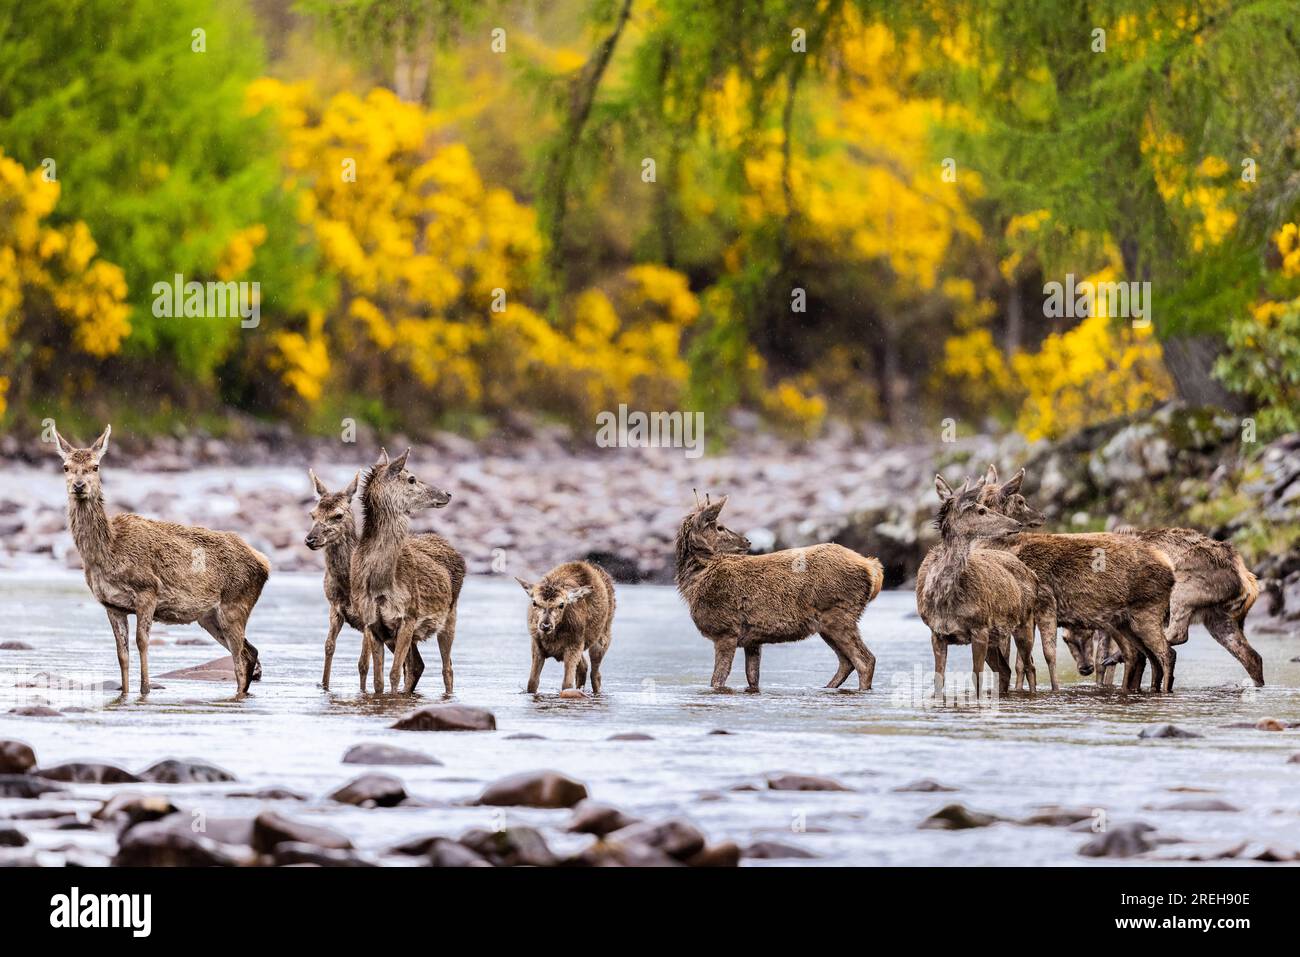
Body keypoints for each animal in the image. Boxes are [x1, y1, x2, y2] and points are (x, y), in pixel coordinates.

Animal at [53, 425, 268, 697]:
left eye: (95, 466)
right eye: (65, 467)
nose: (79, 486)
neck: (108, 552)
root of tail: (265, 563)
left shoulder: (148, 590)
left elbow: (141, 642)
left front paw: (145, 689)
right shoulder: (111, 605)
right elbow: (121, 653)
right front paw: (124, 693)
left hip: (236, 603)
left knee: (240, 660)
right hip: (209, 616)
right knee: (250, 652)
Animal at [350, 448, 459, 695]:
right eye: (411, 478)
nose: (447, 493)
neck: (381, 584)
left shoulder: (409, 615)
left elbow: (394, 673)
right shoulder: (372, 624)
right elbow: (378, 680)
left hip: (451, 615)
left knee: (447, 669)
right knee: (418, 665)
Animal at [516, 561, 615, 696]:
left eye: (561, 604)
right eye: (534, 602)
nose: (545, 625)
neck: (552, 639)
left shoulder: (573, 646)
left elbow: (567, 685)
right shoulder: (536, 645)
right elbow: (532, 683)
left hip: (602, 638)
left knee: (595, 674)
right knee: (584, 666)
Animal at [675, 495, 884, 692]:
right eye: (719, 527)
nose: (747, 541)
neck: (696, 581)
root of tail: (872, 567)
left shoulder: (725, 630)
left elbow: (717, 680)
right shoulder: (752, 639)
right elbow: (752, 678)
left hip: (839, 613)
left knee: (865, 661)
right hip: (827, 623)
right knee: (847, 662)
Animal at [917, 476, 1038, 697]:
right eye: (981, 510)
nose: (1017, 523)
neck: (945, 599)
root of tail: (1032, 573)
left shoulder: (979, 627)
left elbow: (977, 677)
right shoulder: (936, 632)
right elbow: (939, 679)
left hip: (1025, 621)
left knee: (1029, 666)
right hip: (996, 636)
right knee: (1005, 670)